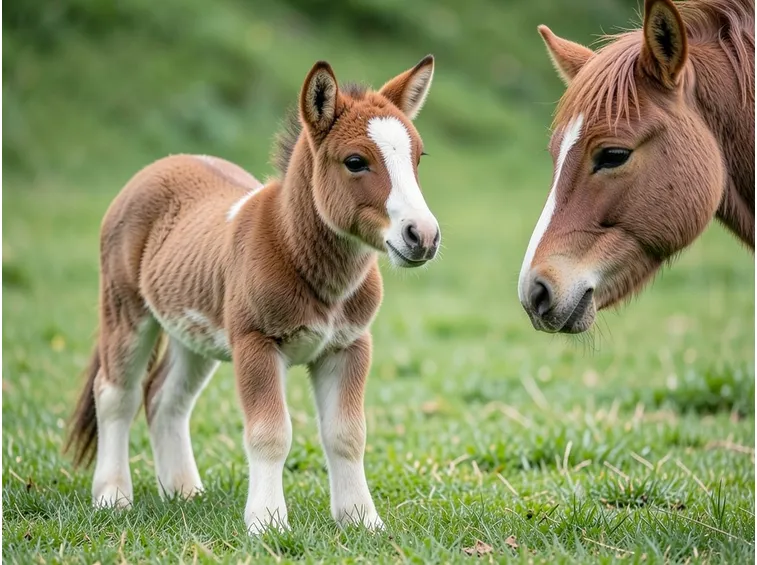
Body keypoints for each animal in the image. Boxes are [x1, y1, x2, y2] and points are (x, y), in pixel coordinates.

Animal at [65, 56, 439, 534]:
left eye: (417, 157)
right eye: (355, 161)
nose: (423, 235)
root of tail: (166, 163)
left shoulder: (348, 345)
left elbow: (347, 434)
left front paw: (361, 520)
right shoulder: (256, 343)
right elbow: (269, 434)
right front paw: (267, 522)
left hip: (193, 329)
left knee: (165, 398)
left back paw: (183, 492)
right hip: (126, 310)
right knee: (117, 394)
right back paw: (112, 496)